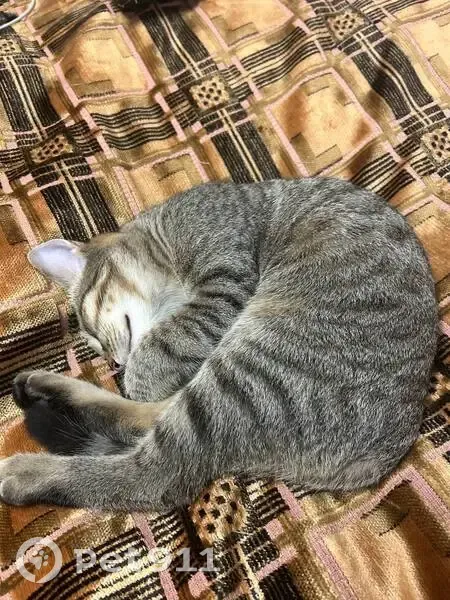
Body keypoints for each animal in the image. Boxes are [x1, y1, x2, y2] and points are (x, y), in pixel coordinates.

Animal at [0, 177, 437, 511]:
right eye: (96, 348)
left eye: (91, 330)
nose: (116, 360)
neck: (162, 233)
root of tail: (378, 459)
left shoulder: (223, 280)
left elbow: (160, 348)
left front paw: (140, 372)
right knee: (151, 423)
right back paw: (45, 387)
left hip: (251, 369)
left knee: (154, 474)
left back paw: (26, 471)